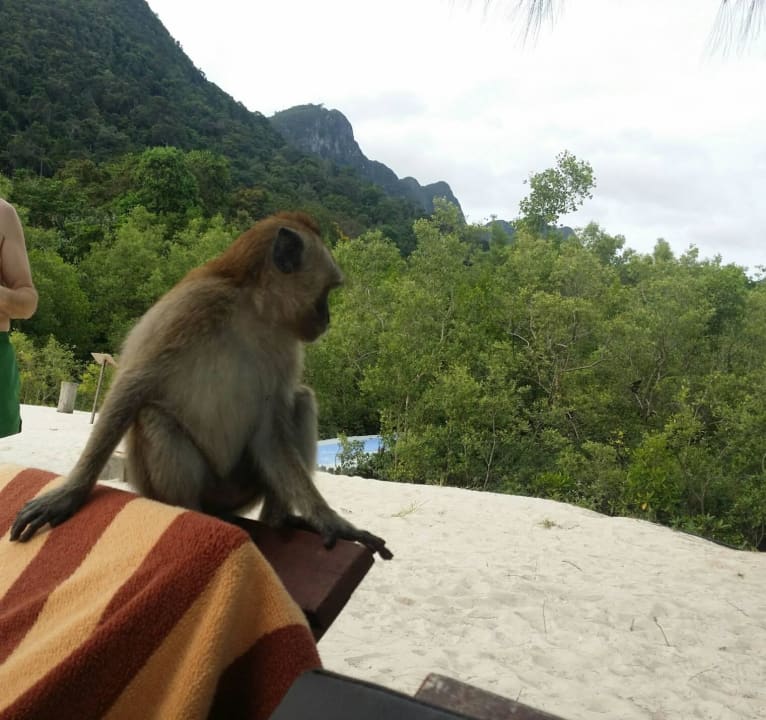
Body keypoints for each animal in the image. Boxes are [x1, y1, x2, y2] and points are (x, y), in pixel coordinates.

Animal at [10, 211, 396, 560]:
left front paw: (328, 520)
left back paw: (279, 519)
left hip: (239, 490)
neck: (253, 310)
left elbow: (271, 426)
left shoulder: (287, 345)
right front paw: (71, 492)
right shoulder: (194, 306)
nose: (327, 319)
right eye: (326, 291)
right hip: (167, 483)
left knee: (299, 401)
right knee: (153, 416)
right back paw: (190, 513)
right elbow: (131, 387)